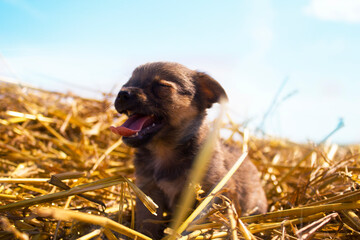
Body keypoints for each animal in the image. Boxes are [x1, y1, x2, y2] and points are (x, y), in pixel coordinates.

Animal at [110, 62, 268, 238]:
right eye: (128, 82)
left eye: (162, 86)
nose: (122, 93)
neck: (163, 152)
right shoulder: (149, 191)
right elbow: (147, 222)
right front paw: (143, 235)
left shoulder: (210, 192)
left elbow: (195, 221)